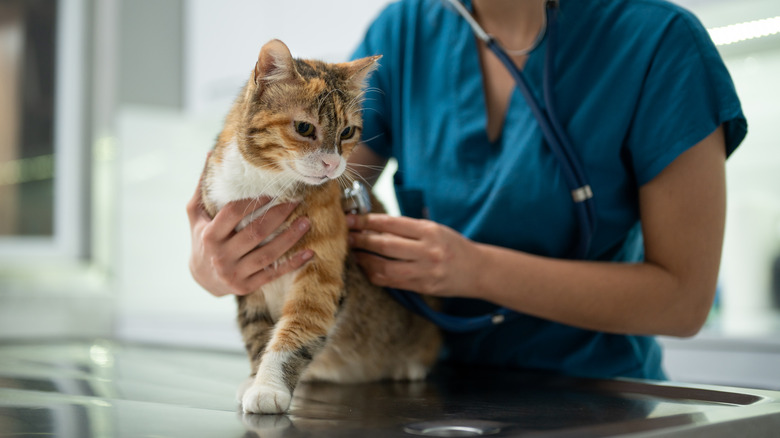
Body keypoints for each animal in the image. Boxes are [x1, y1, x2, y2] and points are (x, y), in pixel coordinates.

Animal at [201, 38, 442, 414]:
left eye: (347, 131)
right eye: (304, 128)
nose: (332, 163)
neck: (265, 187)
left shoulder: (320, 274)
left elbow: (296, 330)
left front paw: (268, 387)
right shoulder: (245, 277)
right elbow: (256, 333)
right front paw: (255, 379)